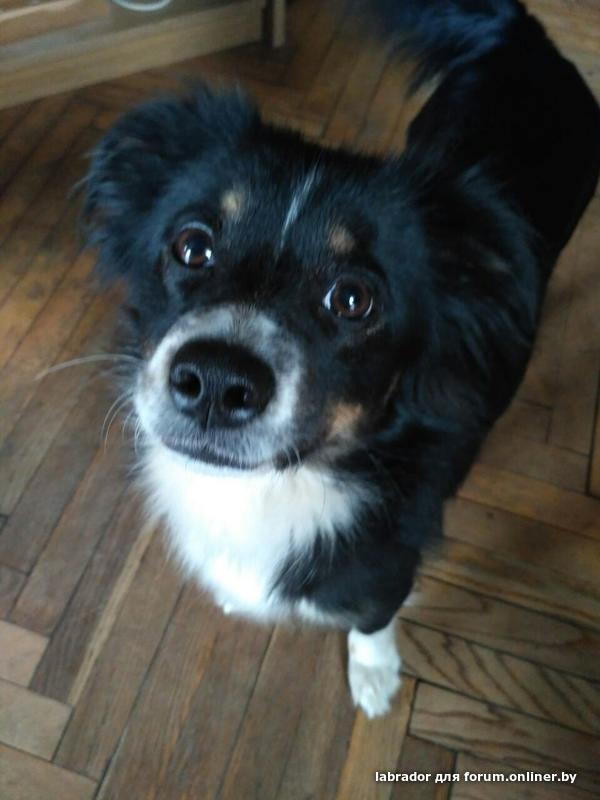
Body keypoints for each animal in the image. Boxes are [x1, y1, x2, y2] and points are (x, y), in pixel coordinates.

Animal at [83, 0, 600, 717]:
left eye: (354, 298)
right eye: (192, 247)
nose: (215, 381)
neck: (282, 484)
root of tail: (531, 39)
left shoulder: (387, 568)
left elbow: (372, 620)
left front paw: (375, 675)